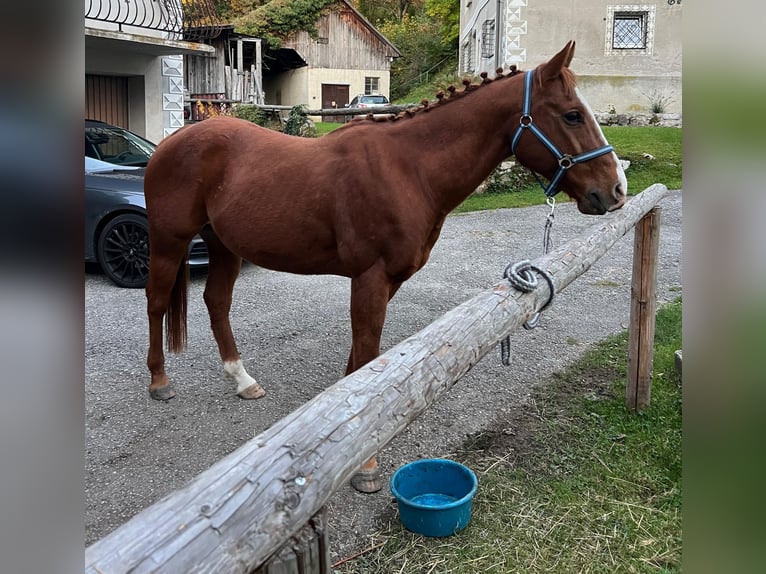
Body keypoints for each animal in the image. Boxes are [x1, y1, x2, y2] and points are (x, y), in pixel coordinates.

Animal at [144, 41, 627, 492]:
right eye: (572, 116)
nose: (616, 190)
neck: (410, 169)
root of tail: (168, 143)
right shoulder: (370, 278)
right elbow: (368, 354)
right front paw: (367, 465)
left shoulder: (387, 280)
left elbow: (361, 364)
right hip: (169, 243)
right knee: (156, 303)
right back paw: (160, 381)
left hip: (225, 246)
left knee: (216, 302)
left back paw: (241, 379)